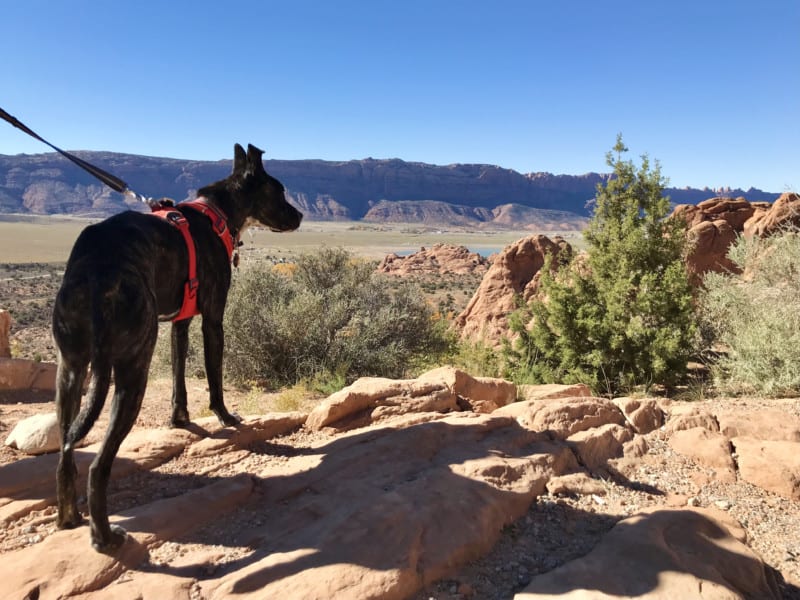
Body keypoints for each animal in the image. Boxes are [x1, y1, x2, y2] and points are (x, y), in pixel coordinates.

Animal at [53, 143, 304, 552]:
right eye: (279, 191)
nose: (300, 215)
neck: (218, 212)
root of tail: (98, 268)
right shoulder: (213, 319)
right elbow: (215, 375)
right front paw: (226, 417)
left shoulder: (179, 324)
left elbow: (178, 378)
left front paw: (180, 419)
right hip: (132, 366)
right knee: (98, 464)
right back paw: (105, 538)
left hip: (71, 368)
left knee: (65, 451)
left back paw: (69, 518)